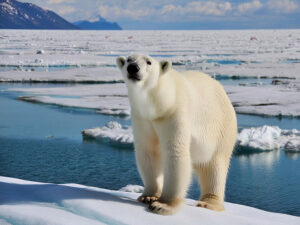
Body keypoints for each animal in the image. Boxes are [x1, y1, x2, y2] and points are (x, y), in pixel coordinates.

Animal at [116, 54, 237, 214]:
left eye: (148, 62)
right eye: (129, 59)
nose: (133, 68)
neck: (161, 103)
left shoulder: (175, 112)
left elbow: (175, 152)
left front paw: (162, 205)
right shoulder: (142, 118)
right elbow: (148, 151)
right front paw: (148, 196)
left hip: (222, 129)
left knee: (215, 166)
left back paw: (208, 203)